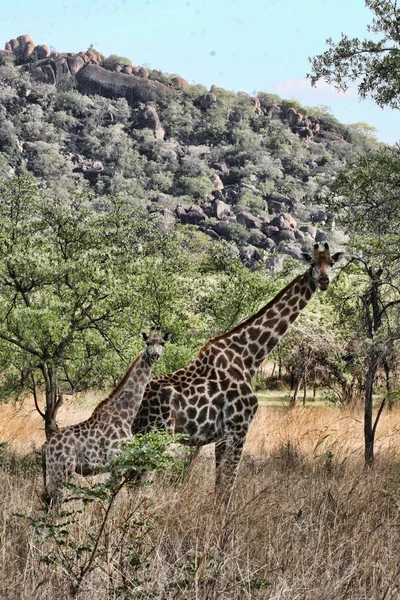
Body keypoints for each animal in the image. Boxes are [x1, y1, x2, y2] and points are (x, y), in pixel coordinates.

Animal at [43, 330, 171, 504]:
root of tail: (45, 447)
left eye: (162, 343)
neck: (126, 414)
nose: (154, 356)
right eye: (148, 343)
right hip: (62, 472)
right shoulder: (117, 462)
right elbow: (113, 498)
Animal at [132, 246, 344, 490]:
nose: (324, 281)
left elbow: (219, 485)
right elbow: (228, 486)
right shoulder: (239, 428)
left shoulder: (223, 435)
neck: (248, 358)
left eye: (331, 263)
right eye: (312, 263)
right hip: (157, 433)